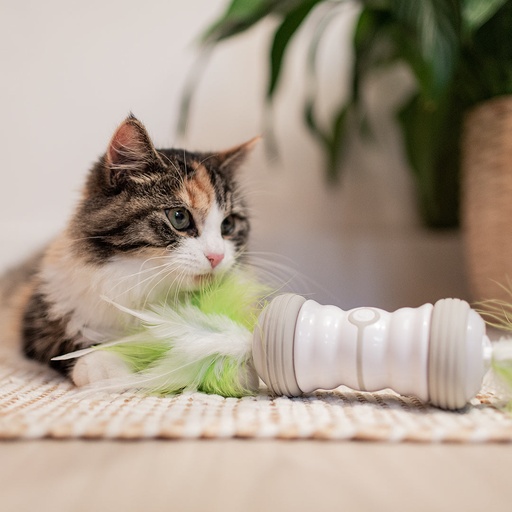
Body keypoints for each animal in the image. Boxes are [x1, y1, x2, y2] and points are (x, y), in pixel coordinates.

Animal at [0, 114, 256, 386]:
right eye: (179, 217)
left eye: (227, 225)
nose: (217, 256)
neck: (145, 287)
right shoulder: (35, 315)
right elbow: (68, 339)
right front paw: (103, 362)